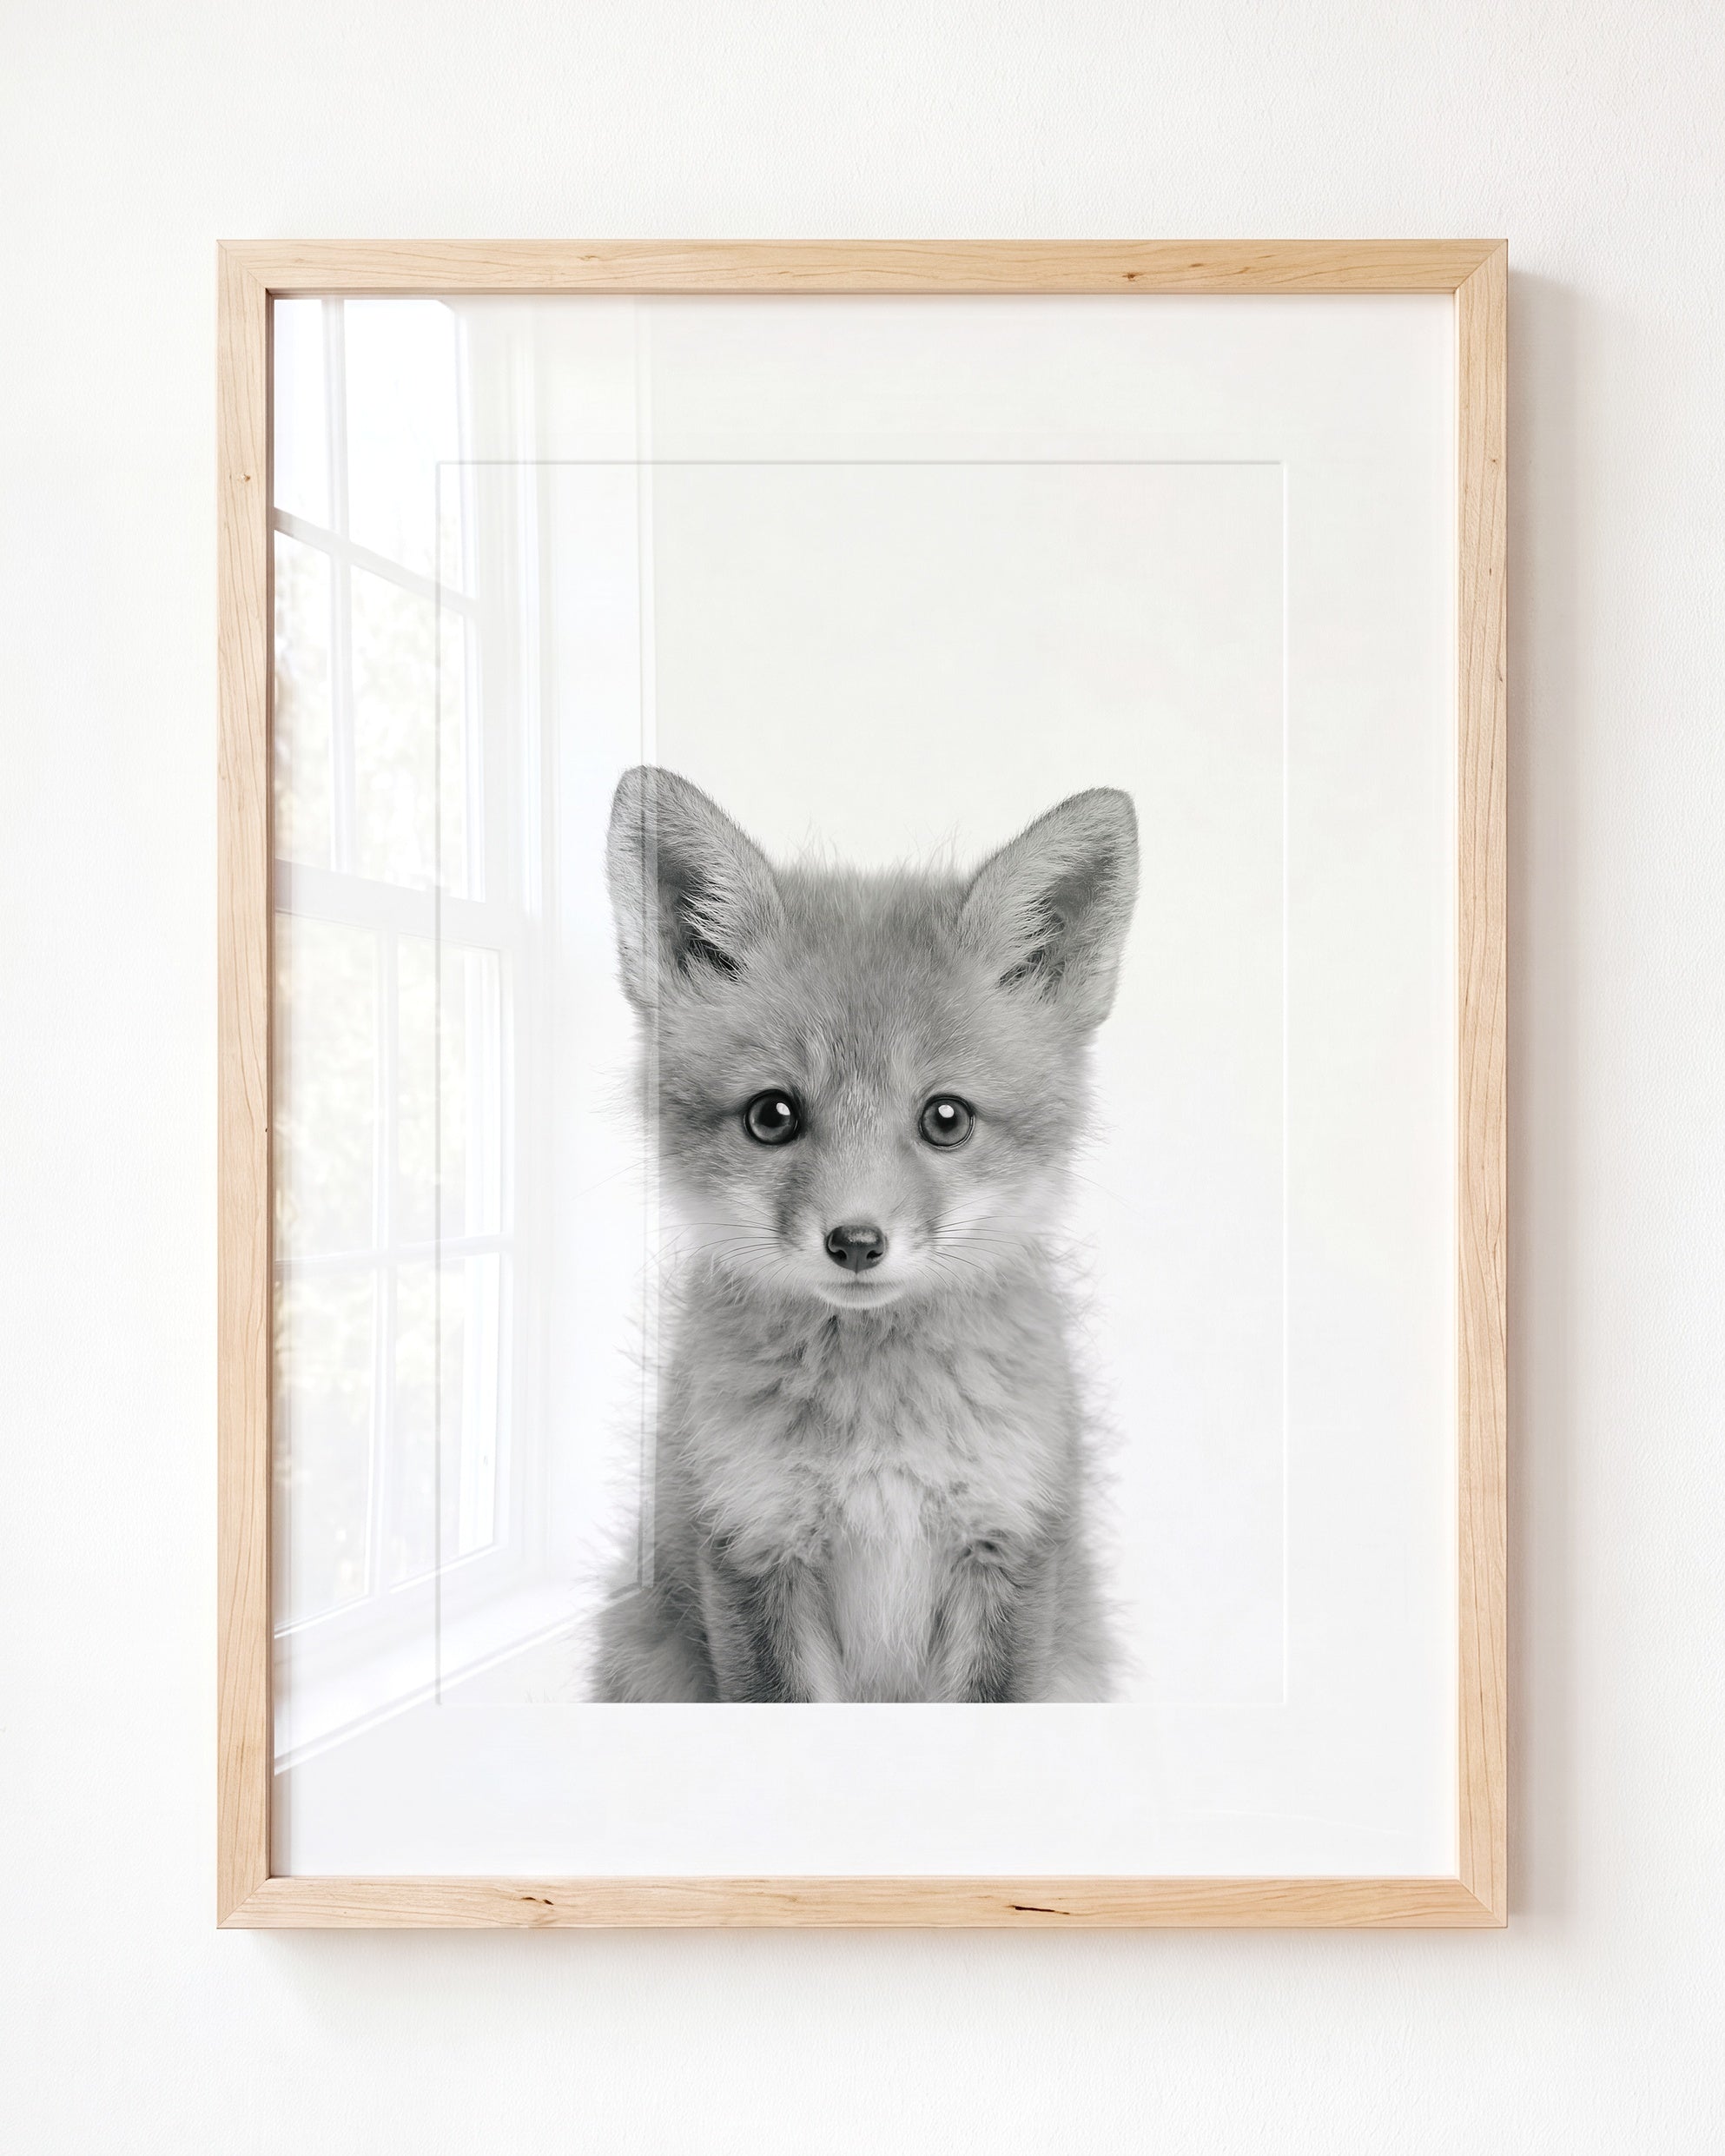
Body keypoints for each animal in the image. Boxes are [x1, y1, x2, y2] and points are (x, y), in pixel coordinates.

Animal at [591, 764, 1139, 1703]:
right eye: (773, 1116)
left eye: (946, 1119)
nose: (855, 1242)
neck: (879, 1438)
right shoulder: (751, 1544)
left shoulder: (1010, 1543)